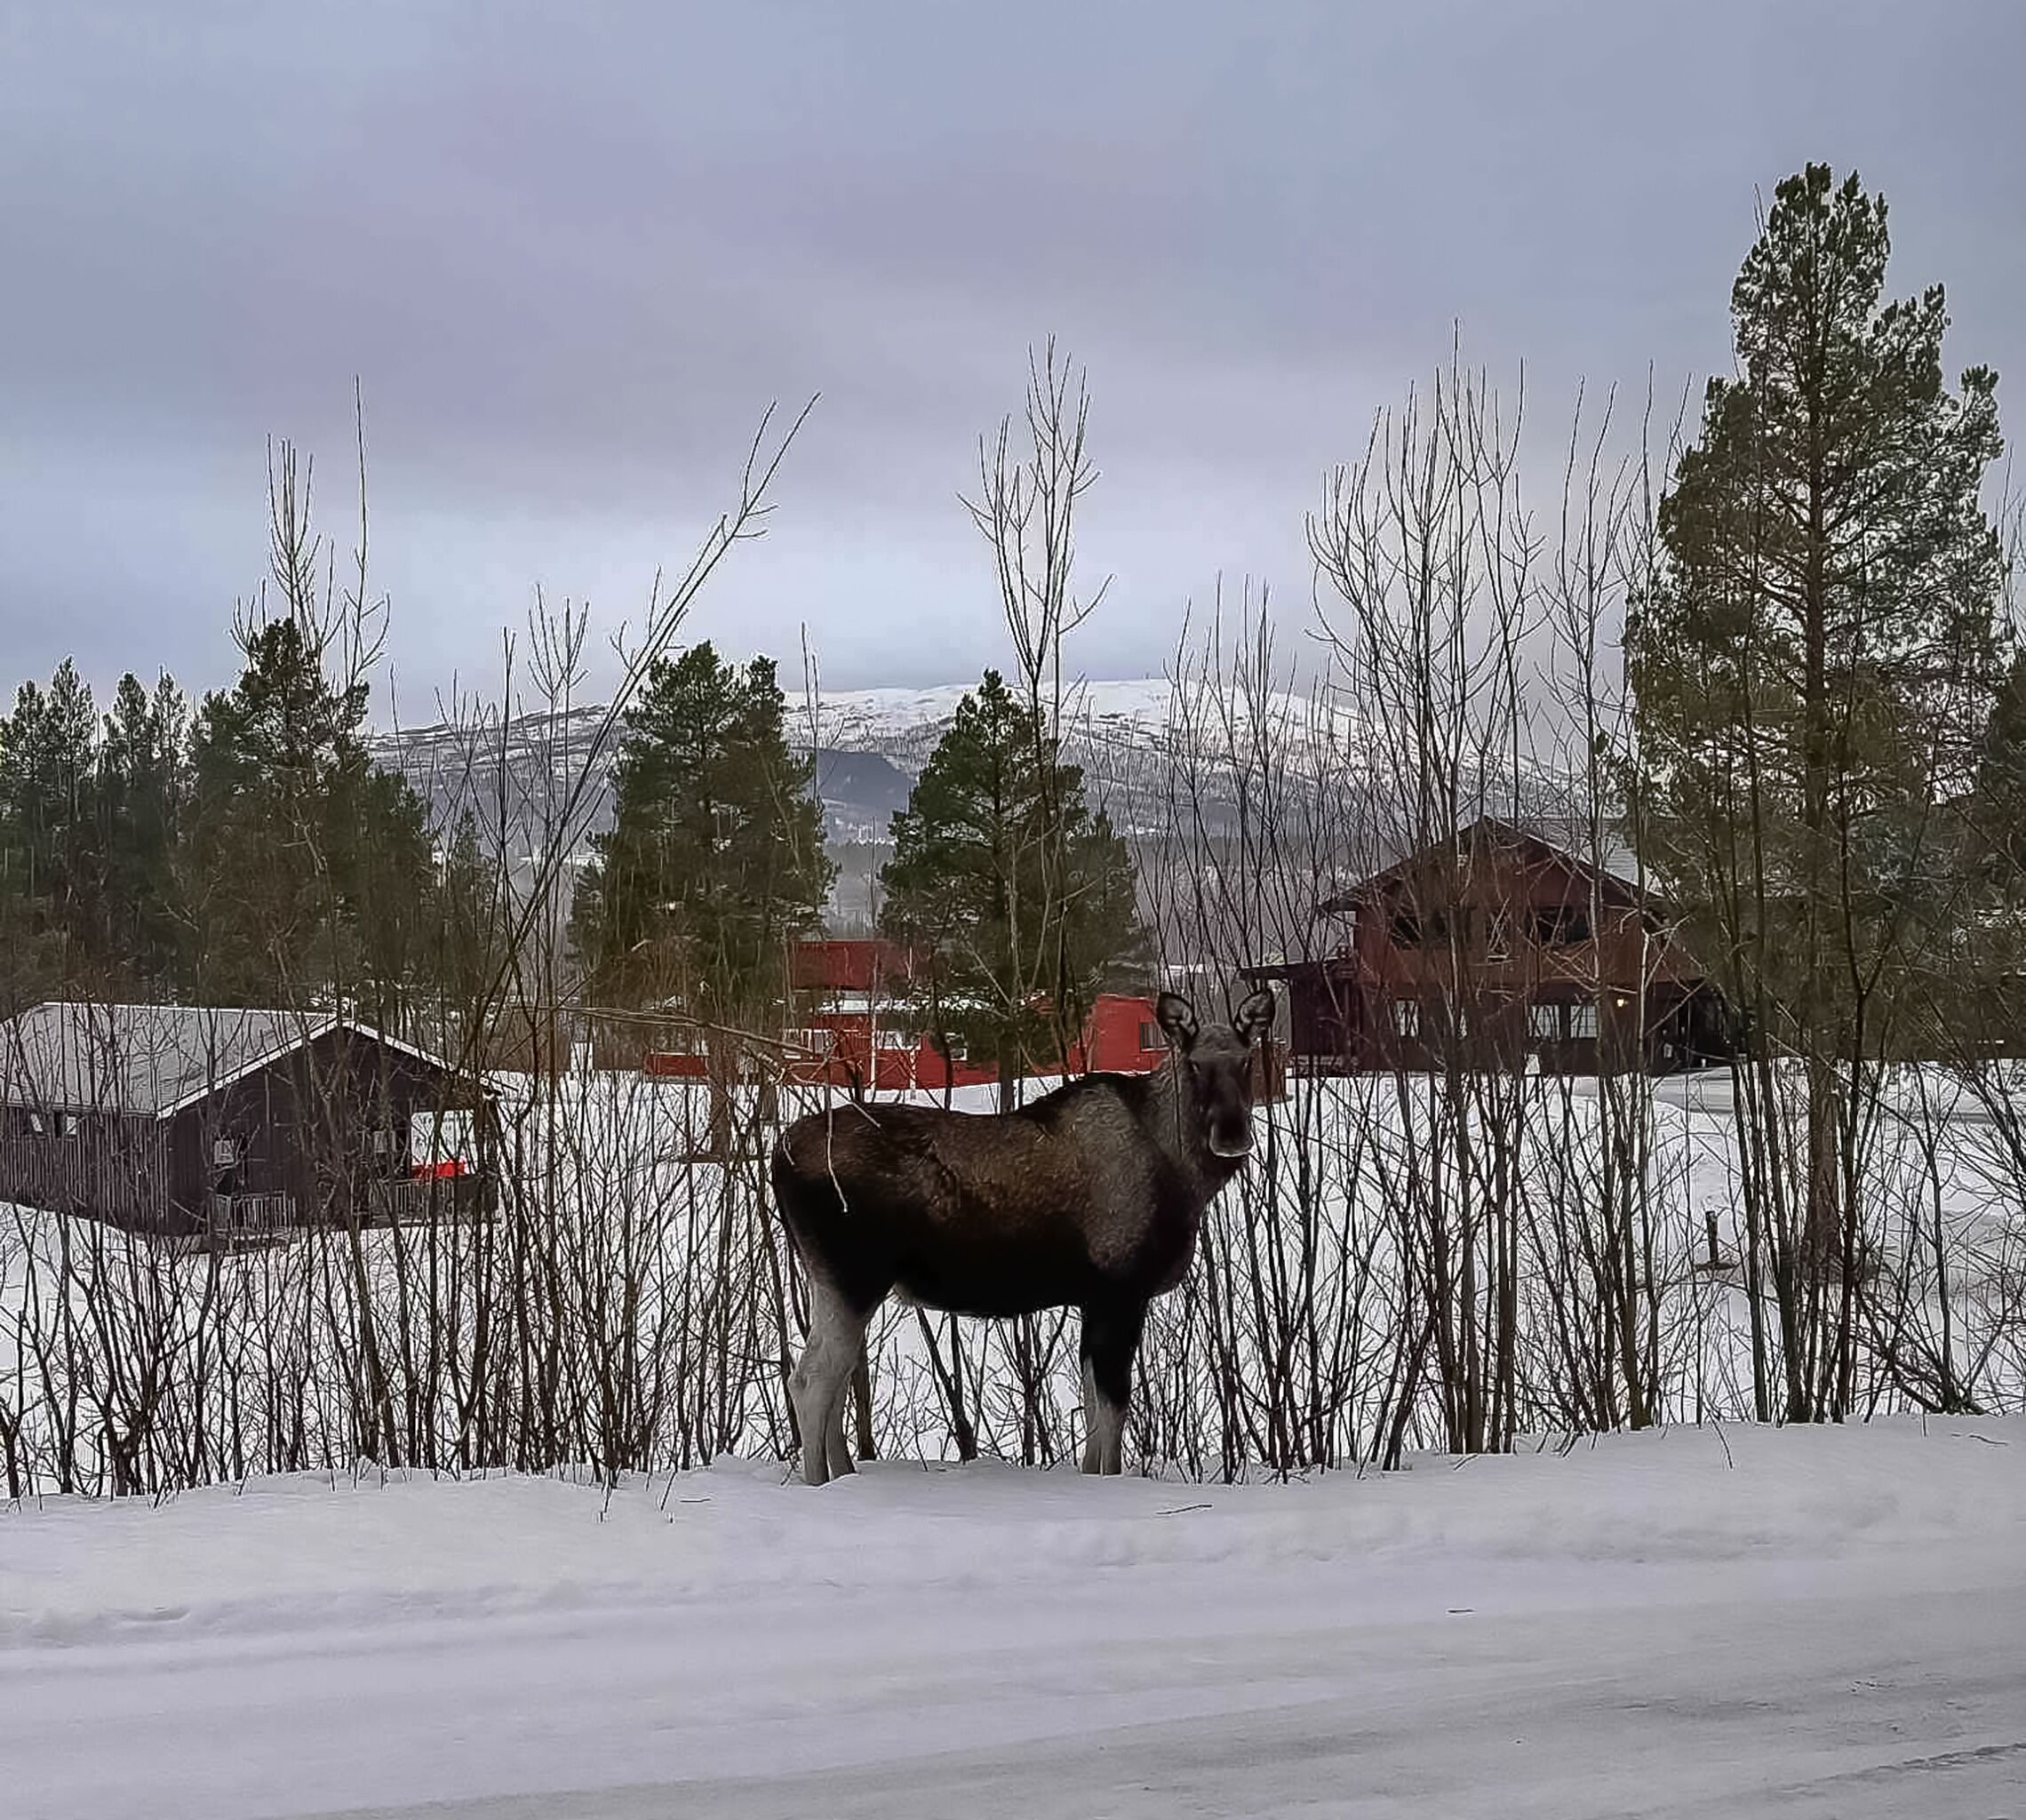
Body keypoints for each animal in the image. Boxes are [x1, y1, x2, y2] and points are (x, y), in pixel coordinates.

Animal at [770, 987, 1275, 1484]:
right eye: (1195, 1064)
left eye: (1246, 1060)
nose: (1232, 1134)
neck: (1182, 1174)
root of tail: (779, 1155)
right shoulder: (1121, 1289)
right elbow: (1113, 1412)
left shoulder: (1094, 1299)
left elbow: (1093, 1412)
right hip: (853, 1278)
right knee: (811, 1380)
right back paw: (819, 1481)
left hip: (838, 1282)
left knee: (836, 1381)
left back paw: (843, 1475)